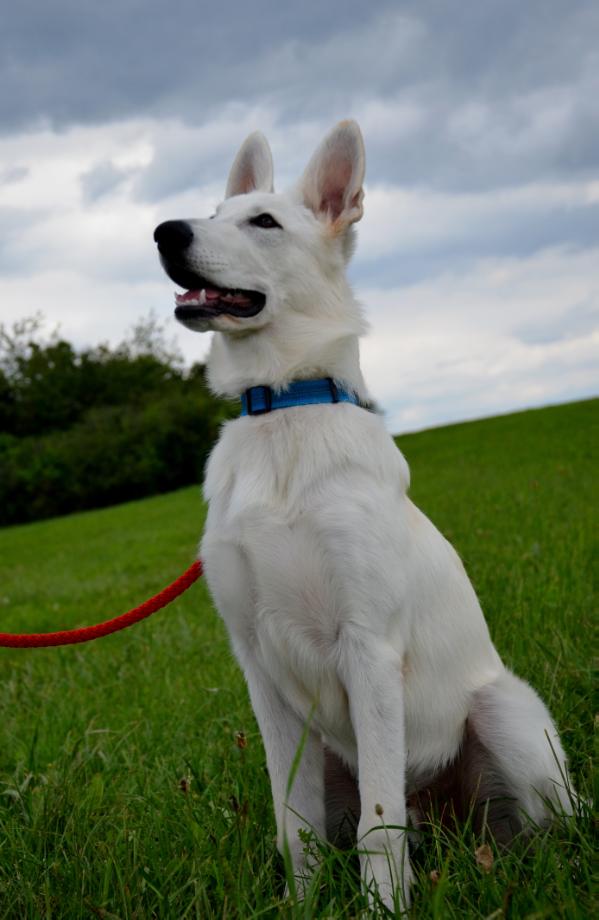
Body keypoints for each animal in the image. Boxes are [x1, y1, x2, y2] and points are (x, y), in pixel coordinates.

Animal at [154, 122, 572, 912]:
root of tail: (443, 818)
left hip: (502, 715)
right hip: (329, 752)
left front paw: (384, 909)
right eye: (212, 212)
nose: (165, 231)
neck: (281, 412)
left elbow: (381, 828)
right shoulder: (258, 667)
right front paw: (302, 906)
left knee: (530, 832)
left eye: (264, 222)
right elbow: (295, 829)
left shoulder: (369, 649)